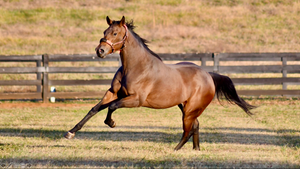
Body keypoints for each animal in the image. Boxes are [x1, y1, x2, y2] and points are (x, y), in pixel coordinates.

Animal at [64, 15, 256, 151]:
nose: (100, 51)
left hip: (190, 109)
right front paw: (70, 133)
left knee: (188, 129)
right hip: (185, 106)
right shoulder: (112, 93)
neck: (136, 67)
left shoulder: (136, 100)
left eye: (115, 33)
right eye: (105, 31)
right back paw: (196, 149)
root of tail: (208, 75)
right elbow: (94, 109)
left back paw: (175, 150)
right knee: (195, 126)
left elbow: (112, 107)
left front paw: (111, 123)